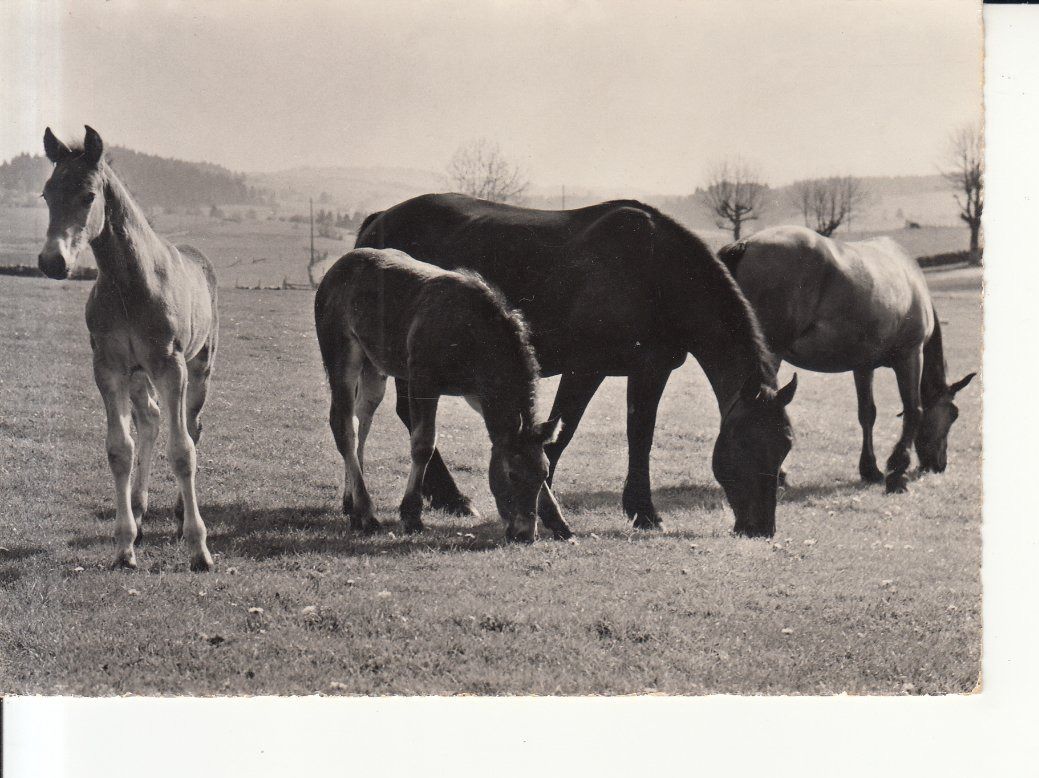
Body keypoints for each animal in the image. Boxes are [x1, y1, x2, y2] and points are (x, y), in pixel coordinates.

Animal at [38, 127, 219, 571]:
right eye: (47, 193)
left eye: (88, 196)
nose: (52, 262)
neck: (130, 283)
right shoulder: (108, 367)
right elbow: (120, 449)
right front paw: (124, 546)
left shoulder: (171, 366)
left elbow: (182, 451)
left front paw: (199, 549)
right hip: (139, 375)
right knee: (150, 420)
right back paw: (137, 508)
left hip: (199, 367)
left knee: (191, 427)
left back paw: (177, 515)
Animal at [314, 247, 566, 543]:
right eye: (512, 475)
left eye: (544, 475)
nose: (525, 534)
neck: (473, 337)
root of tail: (334, 270)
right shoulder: (422, 381)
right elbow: (423, 444)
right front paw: (411, 515)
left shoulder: (477, 394)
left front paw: (558, 520)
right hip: (341, 353)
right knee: (343, 426)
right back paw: (366, 513)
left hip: (374, 365)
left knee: (361, 420)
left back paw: (350, 502)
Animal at [356, 194, 797, 538]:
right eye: (743, 445)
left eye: (785, 447)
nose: (761, 528)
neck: (654, 269)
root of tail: (377, 219)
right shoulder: (585, 368)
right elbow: (561, 434)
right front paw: (543, 506)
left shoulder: (651, 369)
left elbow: (640, 435)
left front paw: (643, 512)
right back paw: (451, 498)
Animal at [719, 225, 976, 493]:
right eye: (953, 414)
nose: (939, 465)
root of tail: (746, 244)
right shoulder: (911, 355)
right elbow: (914, 410)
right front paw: (898, 471)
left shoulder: (863, 366)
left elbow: (867, 413)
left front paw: (870, 469)